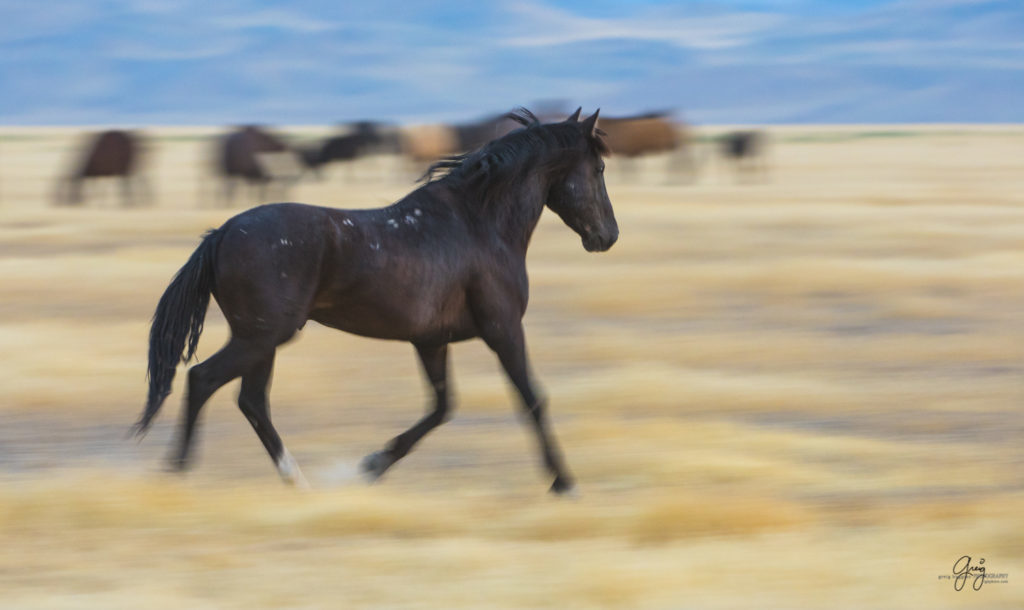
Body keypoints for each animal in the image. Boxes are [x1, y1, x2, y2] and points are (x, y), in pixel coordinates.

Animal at [134, 107, 614, 493]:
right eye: (599, 169)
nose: (608, 236)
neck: (480, 223)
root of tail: (222, 234)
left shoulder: (431, 341)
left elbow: (442, 407)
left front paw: (371, 465)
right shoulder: (504, 329)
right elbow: (531, 398)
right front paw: (564, 481)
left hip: (261, 341)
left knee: (250, 401)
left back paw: (295, 480)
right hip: (261, 337)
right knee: (204, 380)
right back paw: (179, 472)